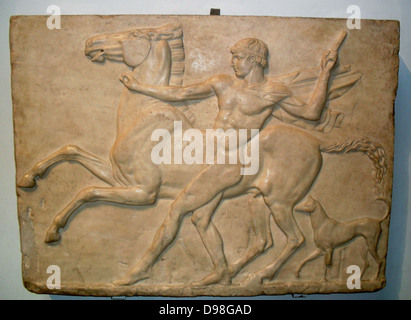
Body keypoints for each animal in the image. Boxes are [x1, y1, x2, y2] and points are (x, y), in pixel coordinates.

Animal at [17, 23, 388, 284]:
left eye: (135, 32)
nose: (92, 43)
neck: (144, 117)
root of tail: (316, 143)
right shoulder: (117, 175)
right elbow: (71, 150)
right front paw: (29, 178)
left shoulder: (142, 192)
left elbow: (88, 191)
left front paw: (53, 230)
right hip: (252, 198)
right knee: (254, 237)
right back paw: (221, 277)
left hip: (276, 201)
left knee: (294, 239)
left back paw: (253, 276)